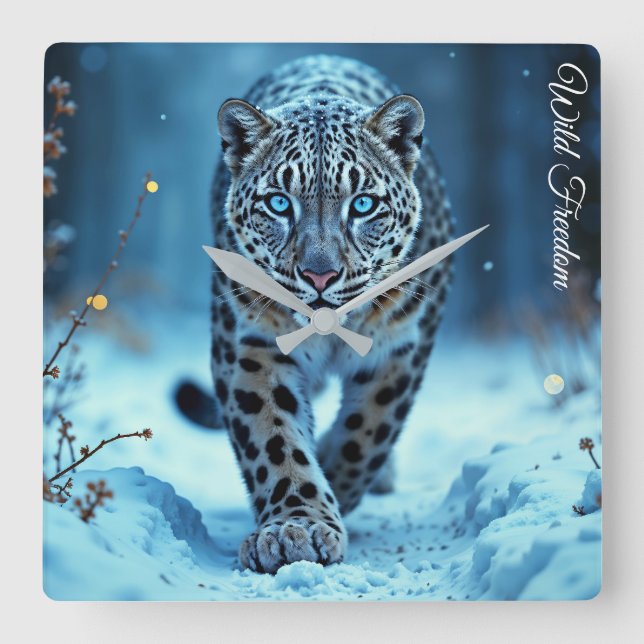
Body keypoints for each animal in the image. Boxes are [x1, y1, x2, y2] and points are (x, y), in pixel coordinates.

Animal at [177, 54, 453, 574]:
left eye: (362, 205)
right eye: (278, 203)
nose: (319, 276)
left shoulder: (400, 348)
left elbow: (365, 435)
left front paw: (332, 489)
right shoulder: (250, 347)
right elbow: (273, 439)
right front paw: (296, 527)